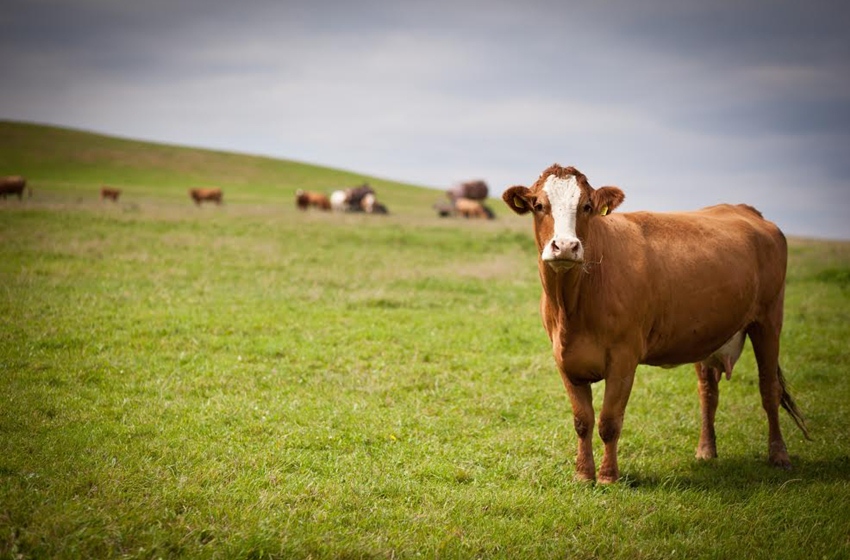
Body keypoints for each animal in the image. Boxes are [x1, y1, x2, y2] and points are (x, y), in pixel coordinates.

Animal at [504, 164, 808, 484]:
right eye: (539, 206)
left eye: (586, 206)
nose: (565, 246)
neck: (573, 306)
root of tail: (746, 211)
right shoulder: (564, 360)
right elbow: (582, 420)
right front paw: (583, 474)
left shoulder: (624, 358)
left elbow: (609, 421)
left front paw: (608, 476)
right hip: (708, 334)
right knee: (708, 392)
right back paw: (706, 450)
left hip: (769, 319)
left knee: (769, 388)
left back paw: (779, 455)